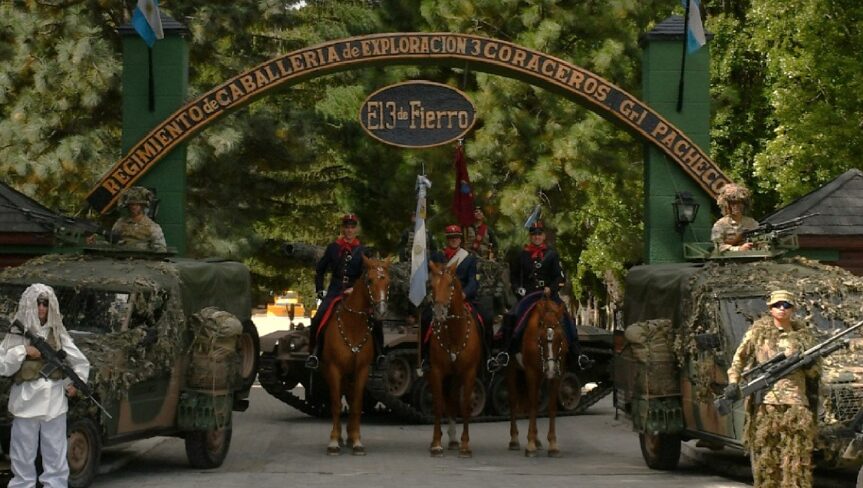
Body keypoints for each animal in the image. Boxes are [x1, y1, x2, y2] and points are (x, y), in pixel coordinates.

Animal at [321, 255, 390, 455]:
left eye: (388, 282)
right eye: (370, 280)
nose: (381, 311)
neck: (352, 325)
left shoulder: (362, 370)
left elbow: (357, 404)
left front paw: (357, 440)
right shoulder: (334, 369)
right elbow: (336, 404)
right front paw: (334, 441)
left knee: (351, 399)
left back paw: (351, 436)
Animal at [426, 260, 483, 458]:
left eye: (451, 284)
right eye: (431, 285)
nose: (439, 312)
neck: (454, 334)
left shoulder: (469, 372)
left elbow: (465, 405)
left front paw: (465, 445)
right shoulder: (436, 371)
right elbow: (437, 404)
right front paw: (436, 443)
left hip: (457, 376)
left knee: (453, 400)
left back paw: (453, 438)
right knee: (448, 400)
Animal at [505, 297, 568, 457]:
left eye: (560, 338)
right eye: (542, 338)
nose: (550, 369)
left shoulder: (558, 374)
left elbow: (551, 406)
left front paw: (552, 444)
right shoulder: (531, 372)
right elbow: (532, 404)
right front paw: (530, 444)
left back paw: (538, 439)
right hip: (512, 369)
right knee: (514, 400)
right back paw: (514, 439)